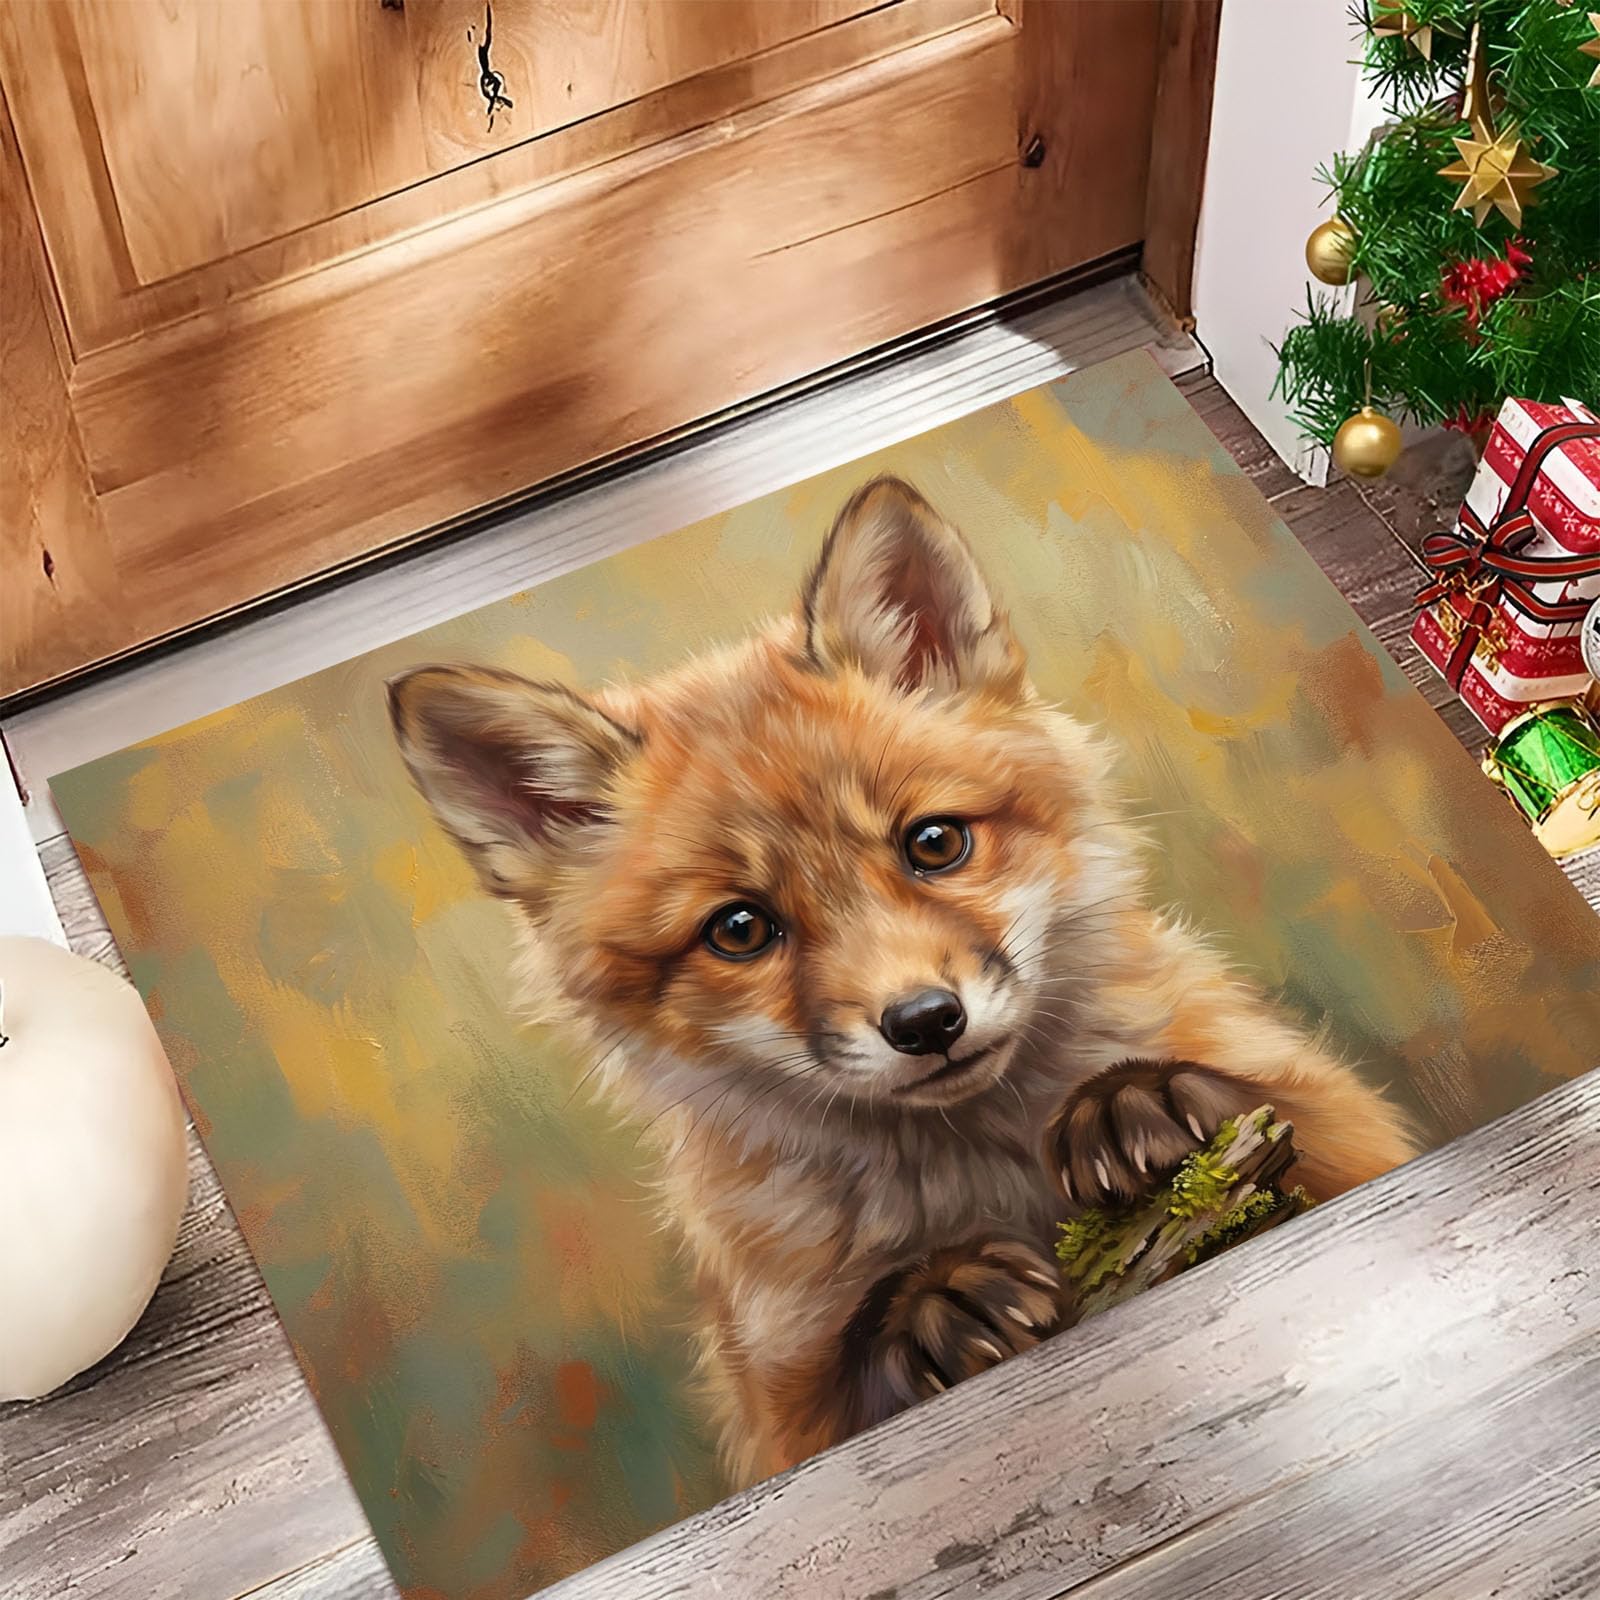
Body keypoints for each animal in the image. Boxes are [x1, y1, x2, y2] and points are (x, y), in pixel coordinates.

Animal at [389, 475, 1418, 1486]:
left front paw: (1137, 1099)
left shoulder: (1354, 1135)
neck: (987, 1170)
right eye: (739, 930)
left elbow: (1307, 1121)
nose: (926, 1022)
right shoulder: (777, 1399)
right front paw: (931, 1304)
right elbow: (849, 1371)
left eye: (933, 843)